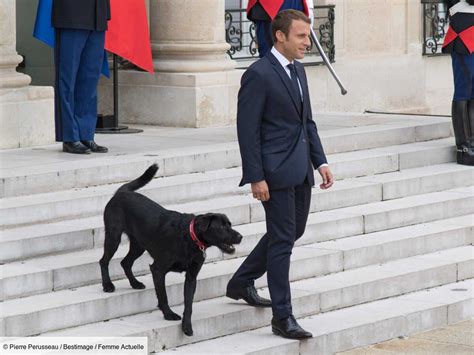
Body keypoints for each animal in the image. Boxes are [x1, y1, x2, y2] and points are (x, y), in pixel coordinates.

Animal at [98, 164, 243, 336]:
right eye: (221, 227)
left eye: (230, 224)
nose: (240, 236)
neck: (189, 238)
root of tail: (122, 192)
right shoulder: (158, 270)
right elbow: (163, 296)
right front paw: (168, 314)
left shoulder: (191, 277)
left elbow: (189, 304)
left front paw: (186, 325)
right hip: (113, 237)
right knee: (103, 261)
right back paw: (107, 285)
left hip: (139, 245)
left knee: (125, 262)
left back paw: (134, 283)